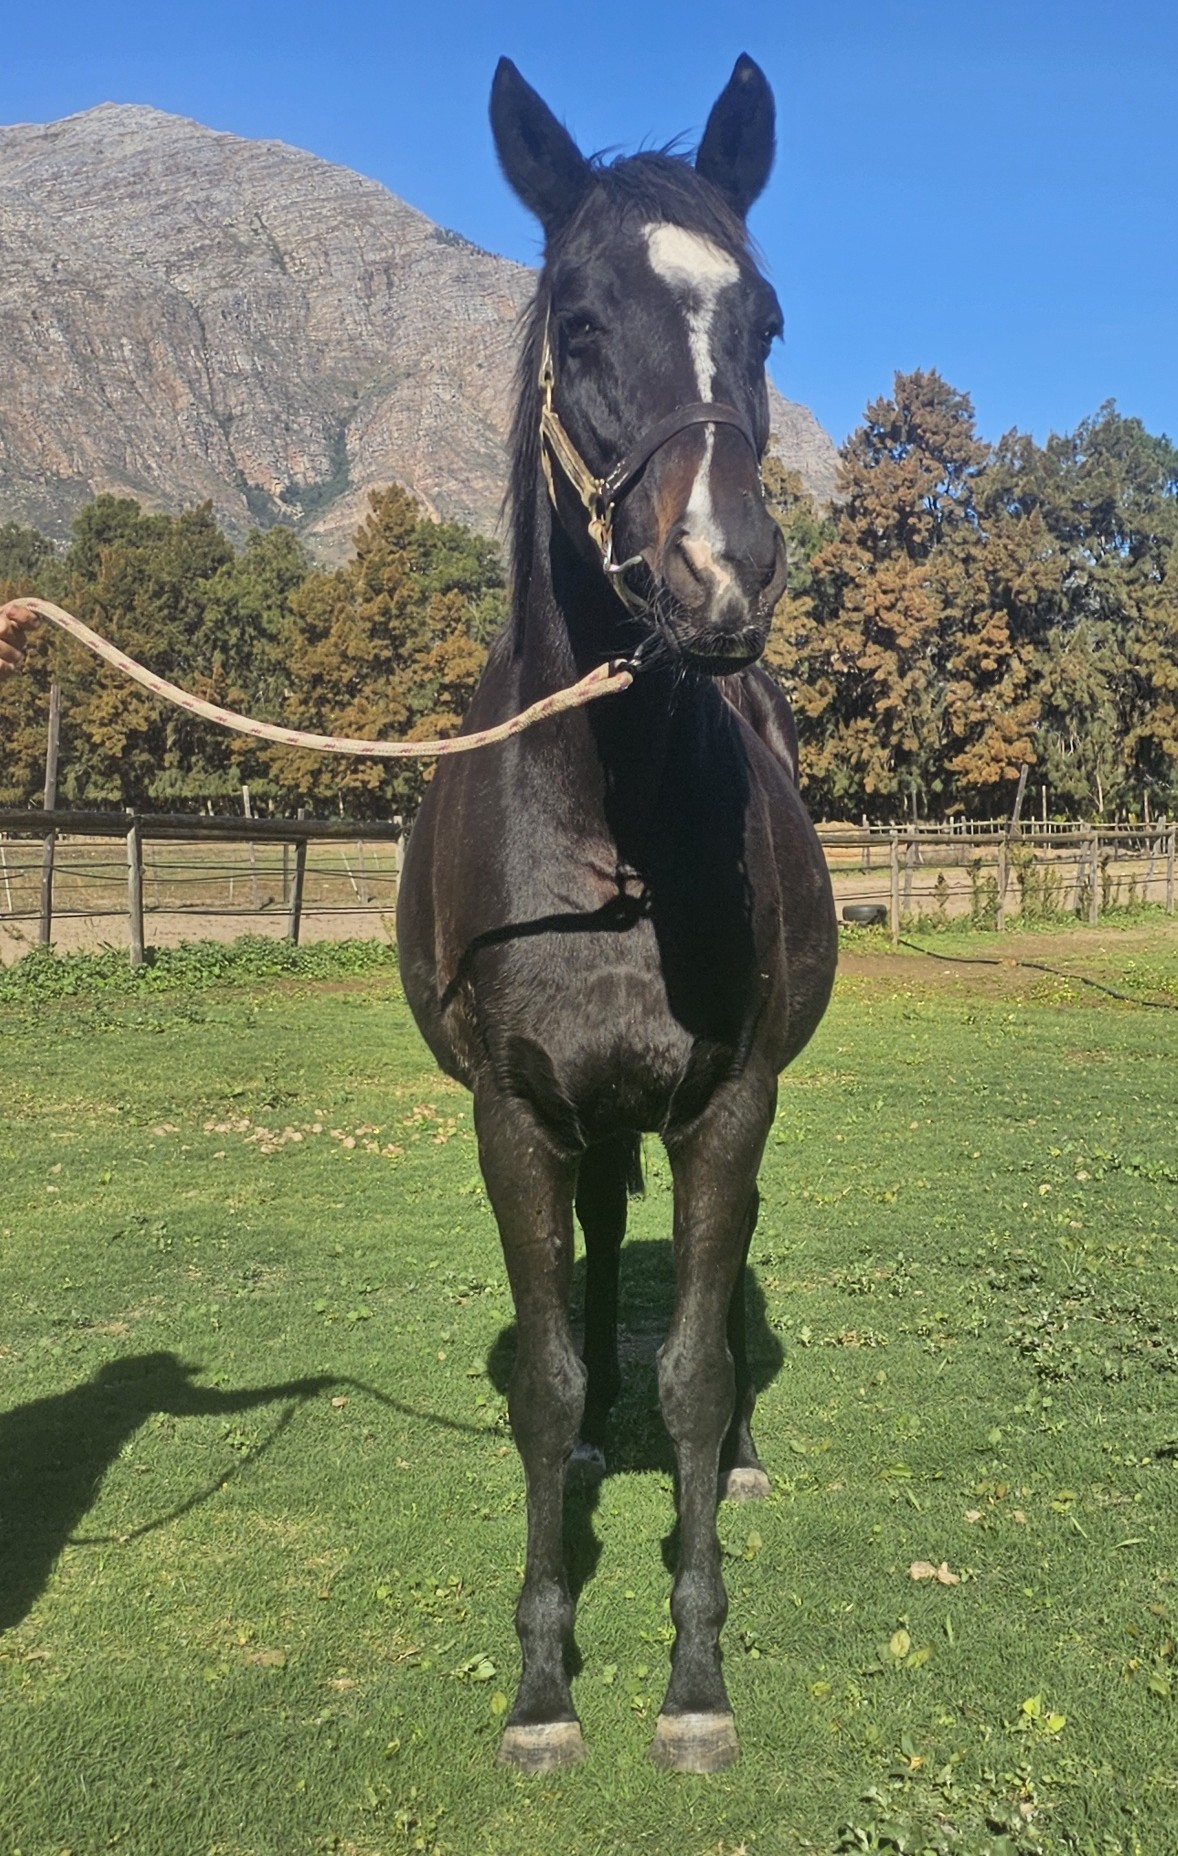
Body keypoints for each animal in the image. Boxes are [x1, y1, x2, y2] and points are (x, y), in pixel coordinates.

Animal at [396, 54, 837, 1773]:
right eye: (579, 325)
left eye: (763, 320)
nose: (722, 578)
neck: (610, 835)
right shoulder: (516, 1115)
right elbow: (549, 1379)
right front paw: (540, 1687)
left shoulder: (730, 1102)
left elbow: (700, 1375)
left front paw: (694, 1678)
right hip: (584, 1129)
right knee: (590, 1270)